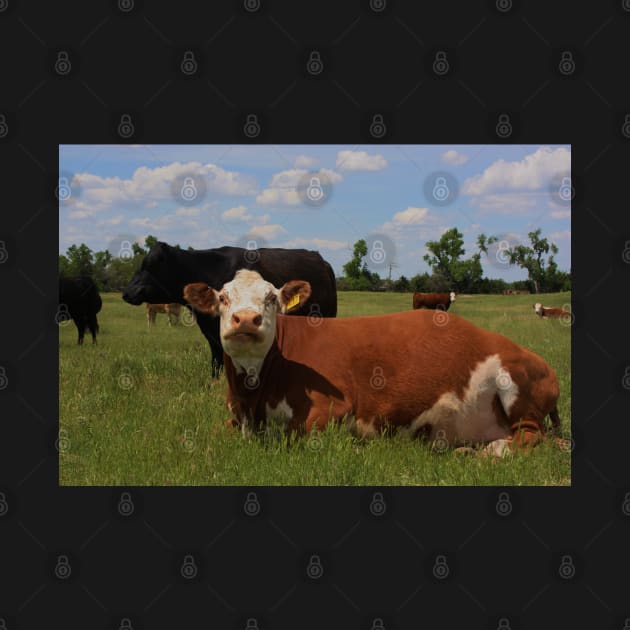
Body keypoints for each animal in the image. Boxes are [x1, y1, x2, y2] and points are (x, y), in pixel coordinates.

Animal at [184, 272, 564, 460]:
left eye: (271, 298)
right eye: (223, 298)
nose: (246, 319)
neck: (253, 394)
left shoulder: (332, 409)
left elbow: (296, 438)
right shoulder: (236, 417)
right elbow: (204, 436)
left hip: (515, 387)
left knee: (531, 437)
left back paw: (487, 452)